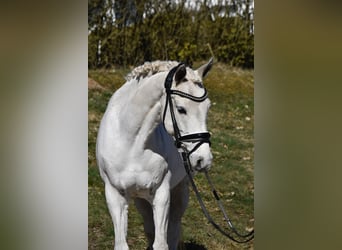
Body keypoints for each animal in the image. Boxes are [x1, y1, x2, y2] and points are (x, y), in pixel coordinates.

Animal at [96, 59, 214, 250]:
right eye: (181, 109)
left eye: (207, 107)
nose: (203, 159)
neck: (131, 142)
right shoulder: (115, 195)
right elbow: (122, 244)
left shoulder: (161, 194)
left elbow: (161, 244)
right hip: (141, 199)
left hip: (180, 191)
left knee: (173, 229)